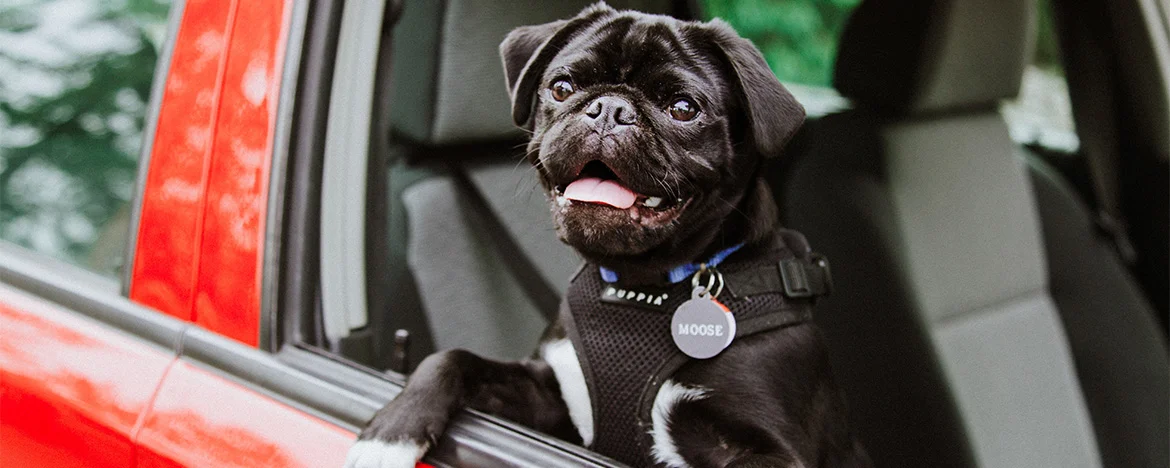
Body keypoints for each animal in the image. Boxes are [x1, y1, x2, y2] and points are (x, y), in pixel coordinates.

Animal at [346, 3, 870, 467]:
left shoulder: (771, 450)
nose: (609, 108)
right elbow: (452, 359)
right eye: (561, 87)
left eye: (683, 108)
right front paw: (392, 431)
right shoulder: (549, 397)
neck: (642, 285)